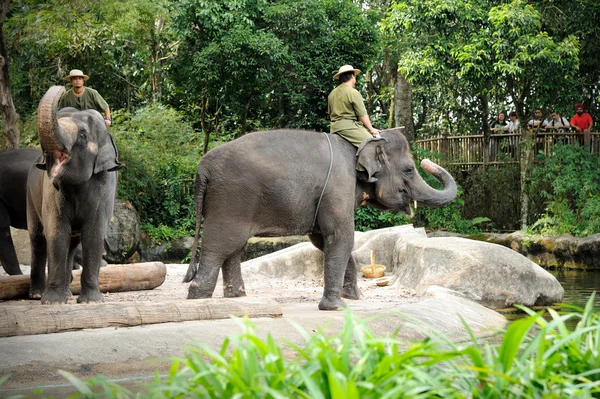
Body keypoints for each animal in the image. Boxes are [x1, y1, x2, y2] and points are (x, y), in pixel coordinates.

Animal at [27, 86, 123, 306]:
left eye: (82, 135)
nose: (63, 86)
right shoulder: (51, 192)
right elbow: (56, 232)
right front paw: (52, 302)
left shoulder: (104, 185)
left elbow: (93, 234)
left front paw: (91, 301)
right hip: (30, 196)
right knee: (38, 239)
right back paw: (37, 294)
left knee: (72, 244)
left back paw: (67, 293)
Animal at [185, 130, 458, 310]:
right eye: (409, 170)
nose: (427, 161)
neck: (361, 144)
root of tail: (202, 169)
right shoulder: (339, 185)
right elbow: (341, 236)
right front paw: (337, 307)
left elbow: (325, 241)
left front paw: (355, 298)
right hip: (230, 201)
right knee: (220, 245)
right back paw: (198, 298)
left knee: (234, 248)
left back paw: (237, 297)